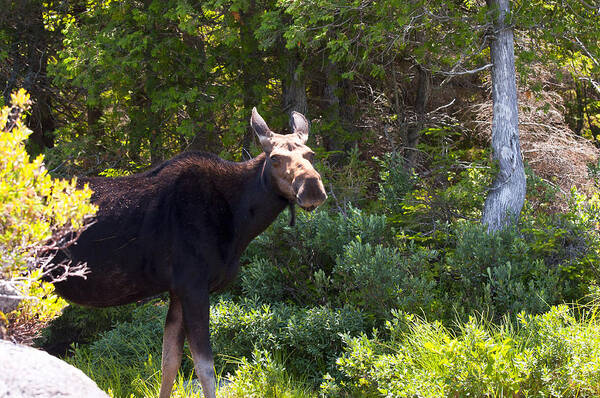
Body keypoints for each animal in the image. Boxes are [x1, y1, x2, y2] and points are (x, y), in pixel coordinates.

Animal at [51, 109, 328, 398]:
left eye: (311, 154)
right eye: (274, 158)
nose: (312, 188)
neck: (239, 221)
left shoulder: (177, 290)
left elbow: (169, 362)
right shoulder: (193, 285)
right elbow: (205, 368)